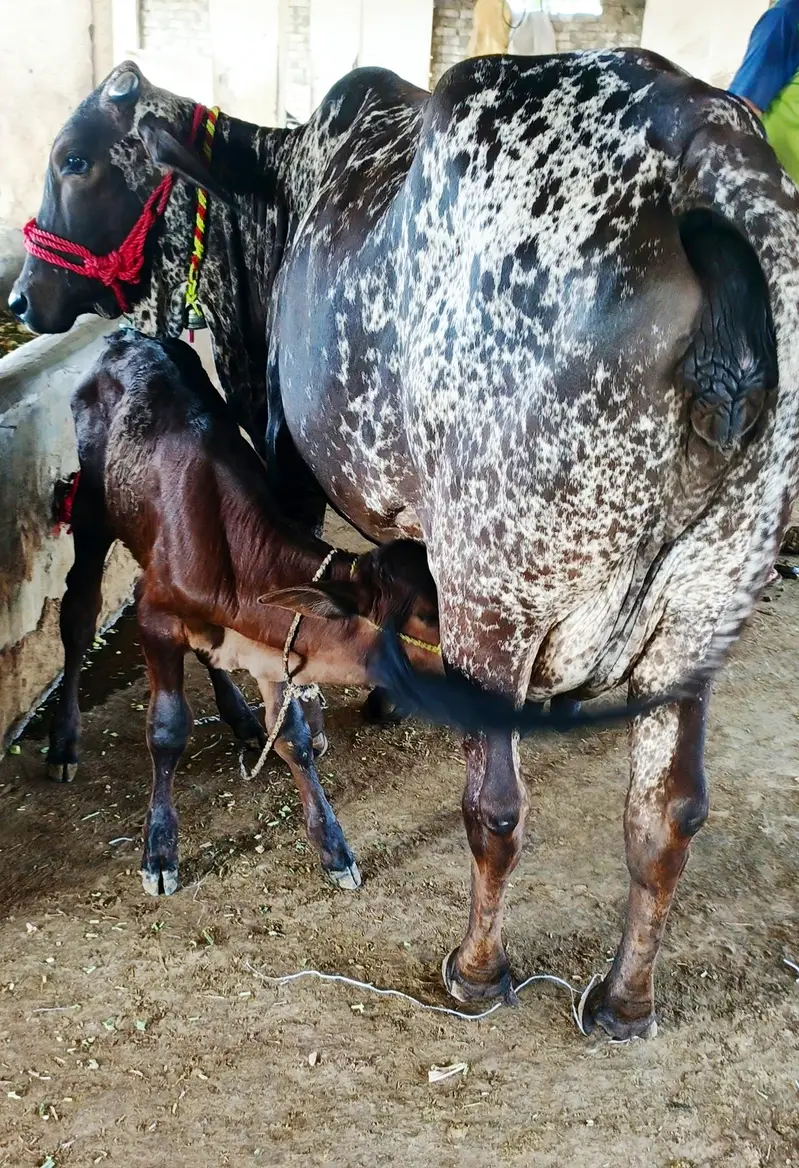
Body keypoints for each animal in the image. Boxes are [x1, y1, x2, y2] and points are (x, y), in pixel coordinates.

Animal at [11, 51, 799, 1039]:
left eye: (75, 160)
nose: (21, 296)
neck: (282, 192)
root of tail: (707, 156)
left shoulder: (288, 458)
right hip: (703, 609)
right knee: (669, 813)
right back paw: (624, 1000)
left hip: (500, 591)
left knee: (496, 808)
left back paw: (476, 970)